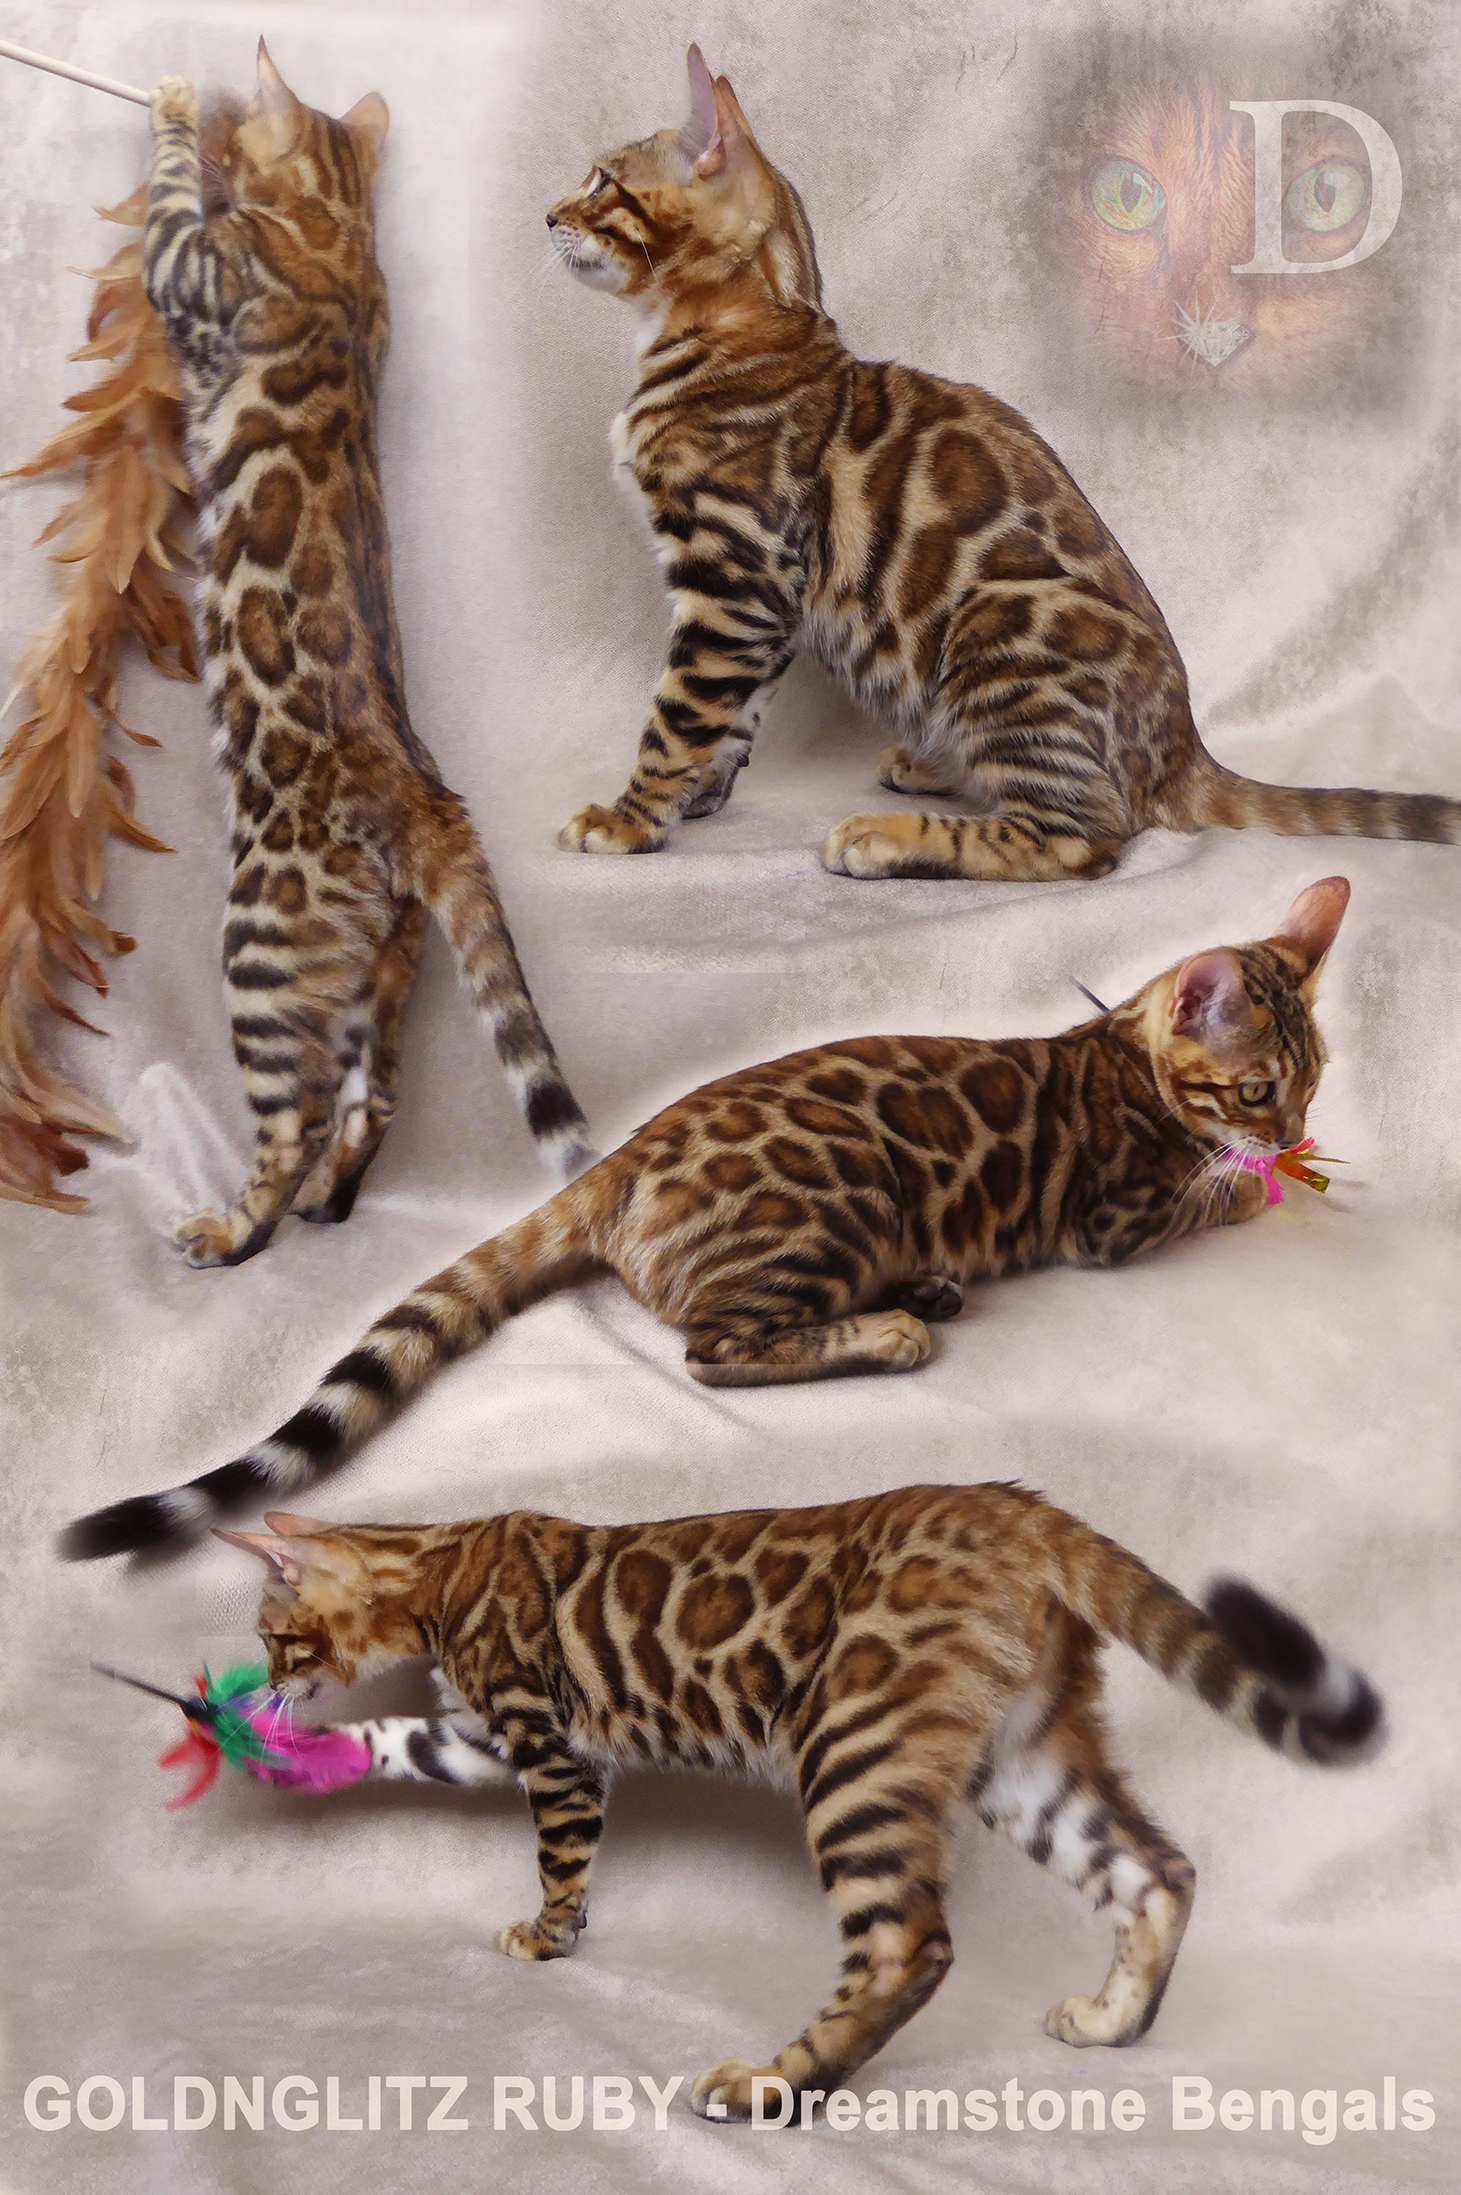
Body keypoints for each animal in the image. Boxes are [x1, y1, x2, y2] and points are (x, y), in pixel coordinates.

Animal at [64, 875, 1346, 1558]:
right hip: (837, 1198)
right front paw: (1255, 1179)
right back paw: (894, 1326)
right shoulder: (1117, 1217)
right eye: (1258, 1088)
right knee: (715, 1349)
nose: (1292, 1128)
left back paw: (925, 1287)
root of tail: (625, 1155)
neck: (1120, 1047)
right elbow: (1208, 1193)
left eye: (1315, 1075)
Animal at [141, 49, 591, 1268]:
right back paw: (328, 1204)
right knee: (370, 1099)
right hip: (377, 966)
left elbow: (167, 205)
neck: (339, 223)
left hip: (260, 938)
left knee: (291, 1115)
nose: (221, 105)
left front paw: (173, 109)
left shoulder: (193, 268)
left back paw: (233, 1227)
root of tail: (424, 793)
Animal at [215, 1484, 1383, 2114]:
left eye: (277, 1635)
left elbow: (557, 1859)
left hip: (853, 1746)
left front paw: (550, 1936)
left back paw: (774, 2083)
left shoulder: (546, 1747)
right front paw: (288, 1750)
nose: (263, 1678)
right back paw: (1111, 2021)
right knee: (1156, 1869)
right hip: (1026, 1758)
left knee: (909, 1945)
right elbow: (386, 1741)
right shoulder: (474, 1738)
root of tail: (1014, 1506)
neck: (441, 1561)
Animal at [547, 48, 1456, 872]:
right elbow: (731, 717)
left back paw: (889, 837)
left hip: (998, 627)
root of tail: (1184, 747)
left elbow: (679, 715)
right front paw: (694, 800)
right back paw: (929, 768)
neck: (745, 330)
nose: (546, 215)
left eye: (600, 183)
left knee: (1083, 837)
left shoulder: (732, 573)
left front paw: (630, 817)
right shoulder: (764, 602)